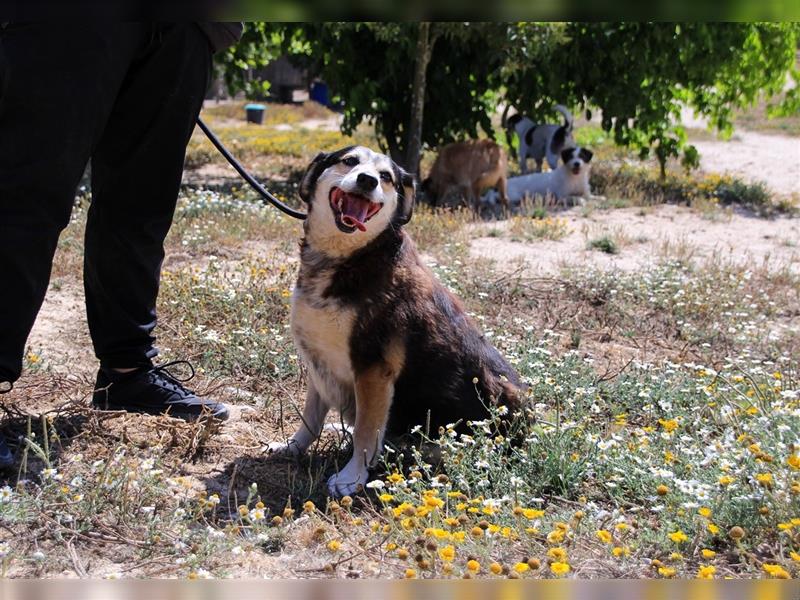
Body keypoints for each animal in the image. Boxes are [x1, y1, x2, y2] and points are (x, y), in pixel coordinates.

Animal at [268, 146, 524, 496]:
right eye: (350, 161)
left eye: (386, 177)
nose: (367, 180)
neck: (352, 259)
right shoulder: (319, 362)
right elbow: (310, 418)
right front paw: (292, 447)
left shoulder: (373, 370)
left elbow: (365, 431)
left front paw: (351, 477)